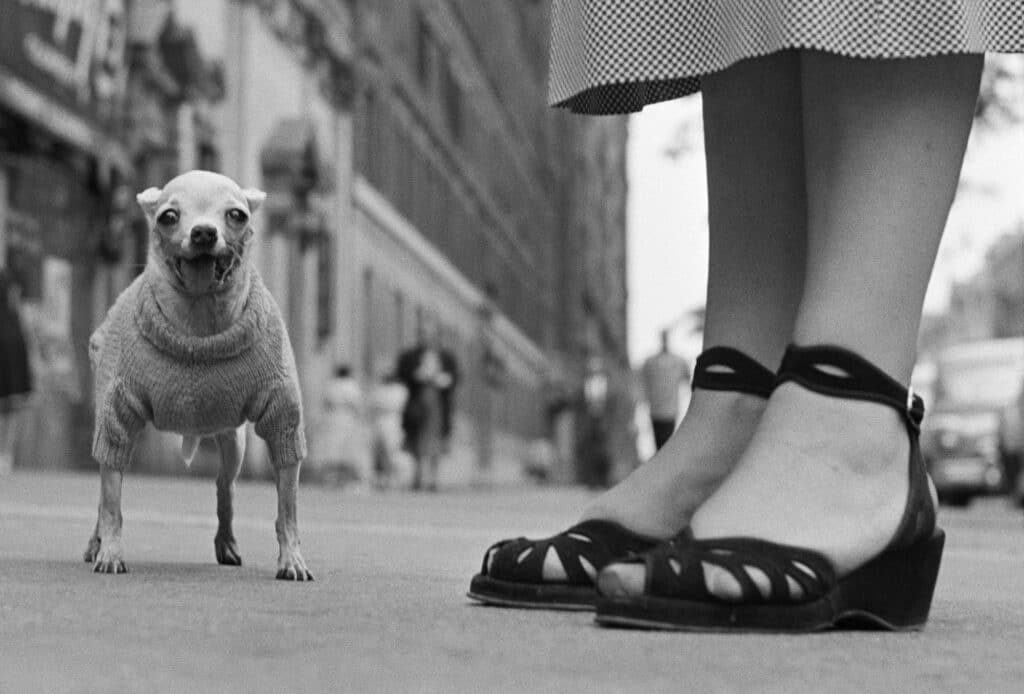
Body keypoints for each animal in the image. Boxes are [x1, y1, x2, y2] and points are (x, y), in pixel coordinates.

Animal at [84, 169, 311, 581]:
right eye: (169, 216)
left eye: (236, 215)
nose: (204, 232)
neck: (199, 321)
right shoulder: (115, 419)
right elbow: (111, 502)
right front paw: (109, 550)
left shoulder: (283, 421)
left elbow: (287, 509)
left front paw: (292, 559)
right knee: (105, 489)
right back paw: (95, 543)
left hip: (233, 441)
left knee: (225, 487)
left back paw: (227, 543)